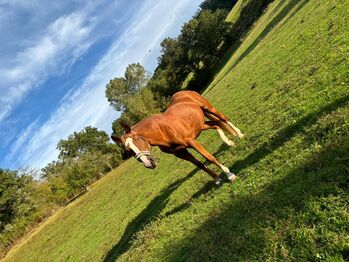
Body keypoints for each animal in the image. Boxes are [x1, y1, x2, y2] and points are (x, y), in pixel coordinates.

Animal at [111, 91, 242, 185]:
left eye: (137, 139)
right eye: (128, 151)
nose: (148, 163)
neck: (162, 130)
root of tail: (184, 92)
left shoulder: (191, 142)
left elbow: (209, 157)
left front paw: (230, 175)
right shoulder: (181, 152)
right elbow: (199, 164)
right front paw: (217, 179)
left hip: (209, 108)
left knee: (223, 118)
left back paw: (239, 134)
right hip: (201, 125)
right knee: (215, 124)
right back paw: (229, 142)